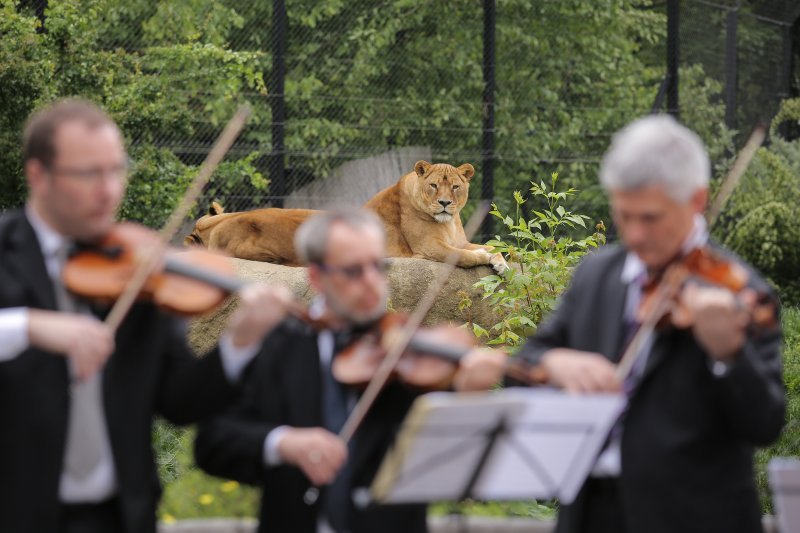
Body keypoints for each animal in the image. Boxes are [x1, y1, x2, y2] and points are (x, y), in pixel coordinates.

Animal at [362, 159, 506, 272]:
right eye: (433, 185)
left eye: (455, 187)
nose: (444, 202)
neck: (449, 222)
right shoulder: (428, 246)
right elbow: (462, 255)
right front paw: (483, 255)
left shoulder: (460, 242)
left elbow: (492, 247)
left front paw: (502, 264)